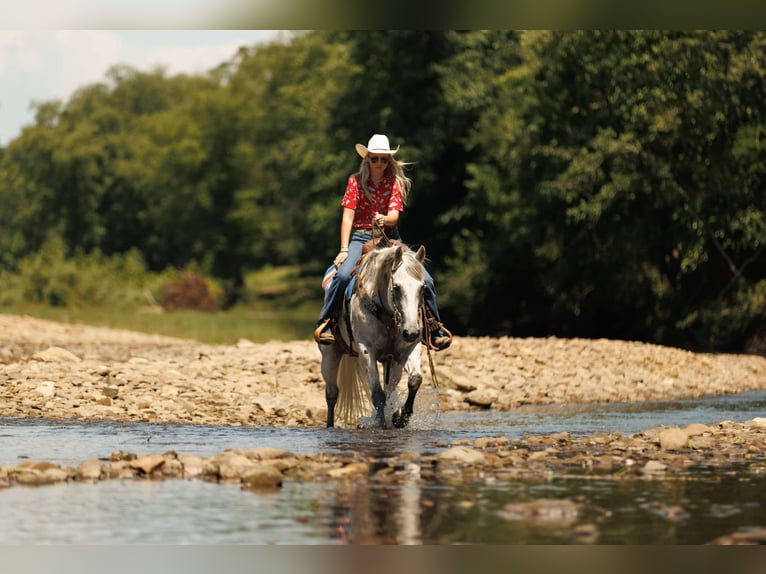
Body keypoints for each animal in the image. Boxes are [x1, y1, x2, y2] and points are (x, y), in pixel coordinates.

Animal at [319, 242, 428, 429]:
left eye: (422, 288)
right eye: (396, 288)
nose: (412, 332)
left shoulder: (408, 349)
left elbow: (415, 380)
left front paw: (400, 417)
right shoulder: (366, 350)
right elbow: (377, 393)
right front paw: (381, 425)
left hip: (392, 363)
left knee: (390, 390)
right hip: (329, 356)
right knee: (332, 394)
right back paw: (330, 426)